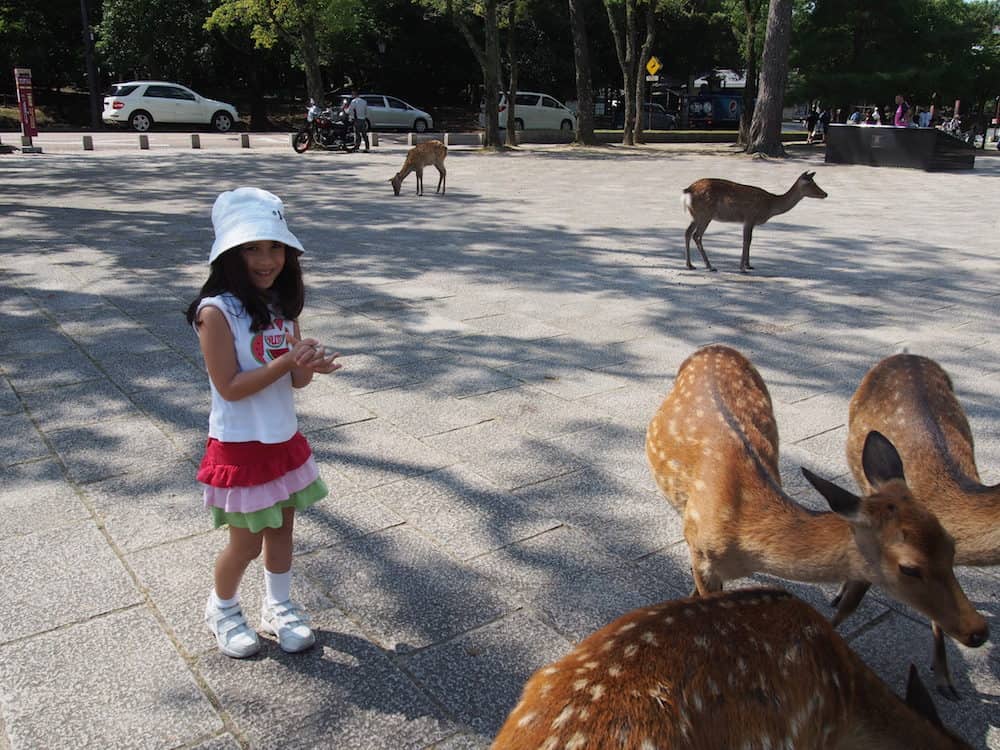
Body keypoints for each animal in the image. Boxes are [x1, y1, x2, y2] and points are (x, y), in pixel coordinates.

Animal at [648, 346, 984, 652]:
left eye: (951, 544)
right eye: (909, 567)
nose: (978, 630)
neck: (740, 533)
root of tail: (714, 348)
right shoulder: (703, 556)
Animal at [680, 170, 828, 274]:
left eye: (815, 182)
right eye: (810, 183)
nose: (825, 194)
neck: (770, 205)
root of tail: (687, 191)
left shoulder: (750, 221)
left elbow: (750, 240)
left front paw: (749, 265)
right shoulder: (750, 217)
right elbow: (746, 240)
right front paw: (742, 268)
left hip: (696, 215)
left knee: (687, 232)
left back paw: (690, 265)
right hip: (705, 215)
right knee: (697, 235)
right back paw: (710, 266)